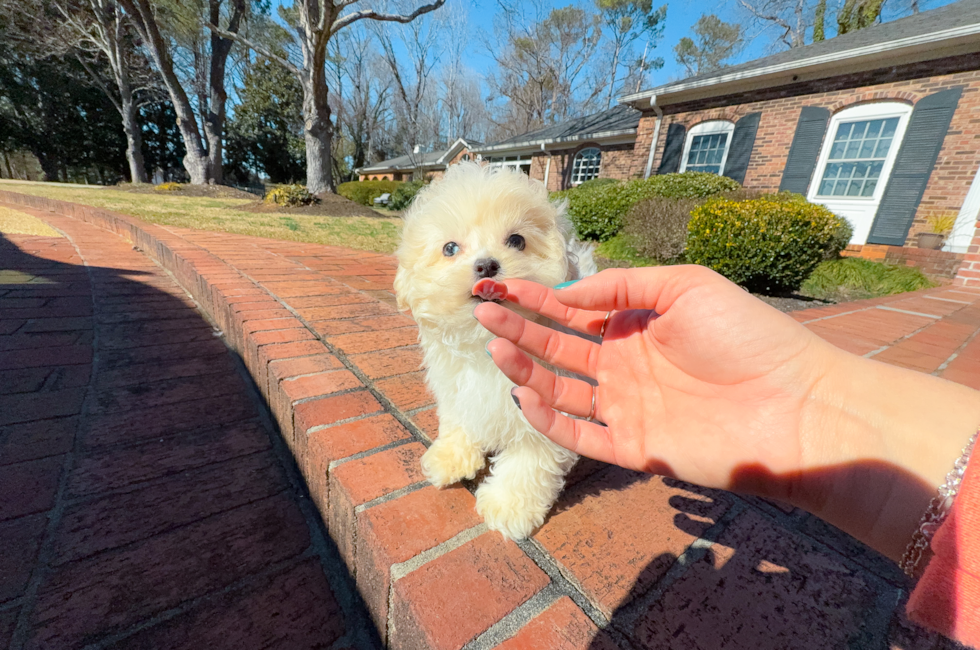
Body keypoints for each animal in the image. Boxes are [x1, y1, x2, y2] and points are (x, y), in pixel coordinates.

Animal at [392, 161, 592, 536]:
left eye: (517, 240)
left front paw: (508, 507)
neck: (485, 343)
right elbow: (458, 418)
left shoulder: (543, 407)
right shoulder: (457, 386)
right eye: (450, 248)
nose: (486, 265)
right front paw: (450, 458)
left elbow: (530, 459)